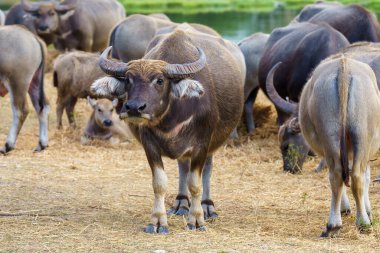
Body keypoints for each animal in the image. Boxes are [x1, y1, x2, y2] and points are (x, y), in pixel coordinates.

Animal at [0, 25, 49, 153]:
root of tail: (32, 36)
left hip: (17, 84)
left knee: (21, 111)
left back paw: (8, 145)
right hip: (34, 83)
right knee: (42, 107)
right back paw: (42, 144)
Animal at [91, 27, 243, 233]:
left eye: (160, 80)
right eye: (128, 80)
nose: (134, 107)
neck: (171, 118)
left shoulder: (201, 145)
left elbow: (195, 183)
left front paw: (196, 220)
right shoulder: (149, 145)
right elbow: (159, 183)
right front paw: (157, 221)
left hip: (215, 142)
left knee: (207, 169)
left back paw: (207, 206)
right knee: (183, 166)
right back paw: (181, 203)